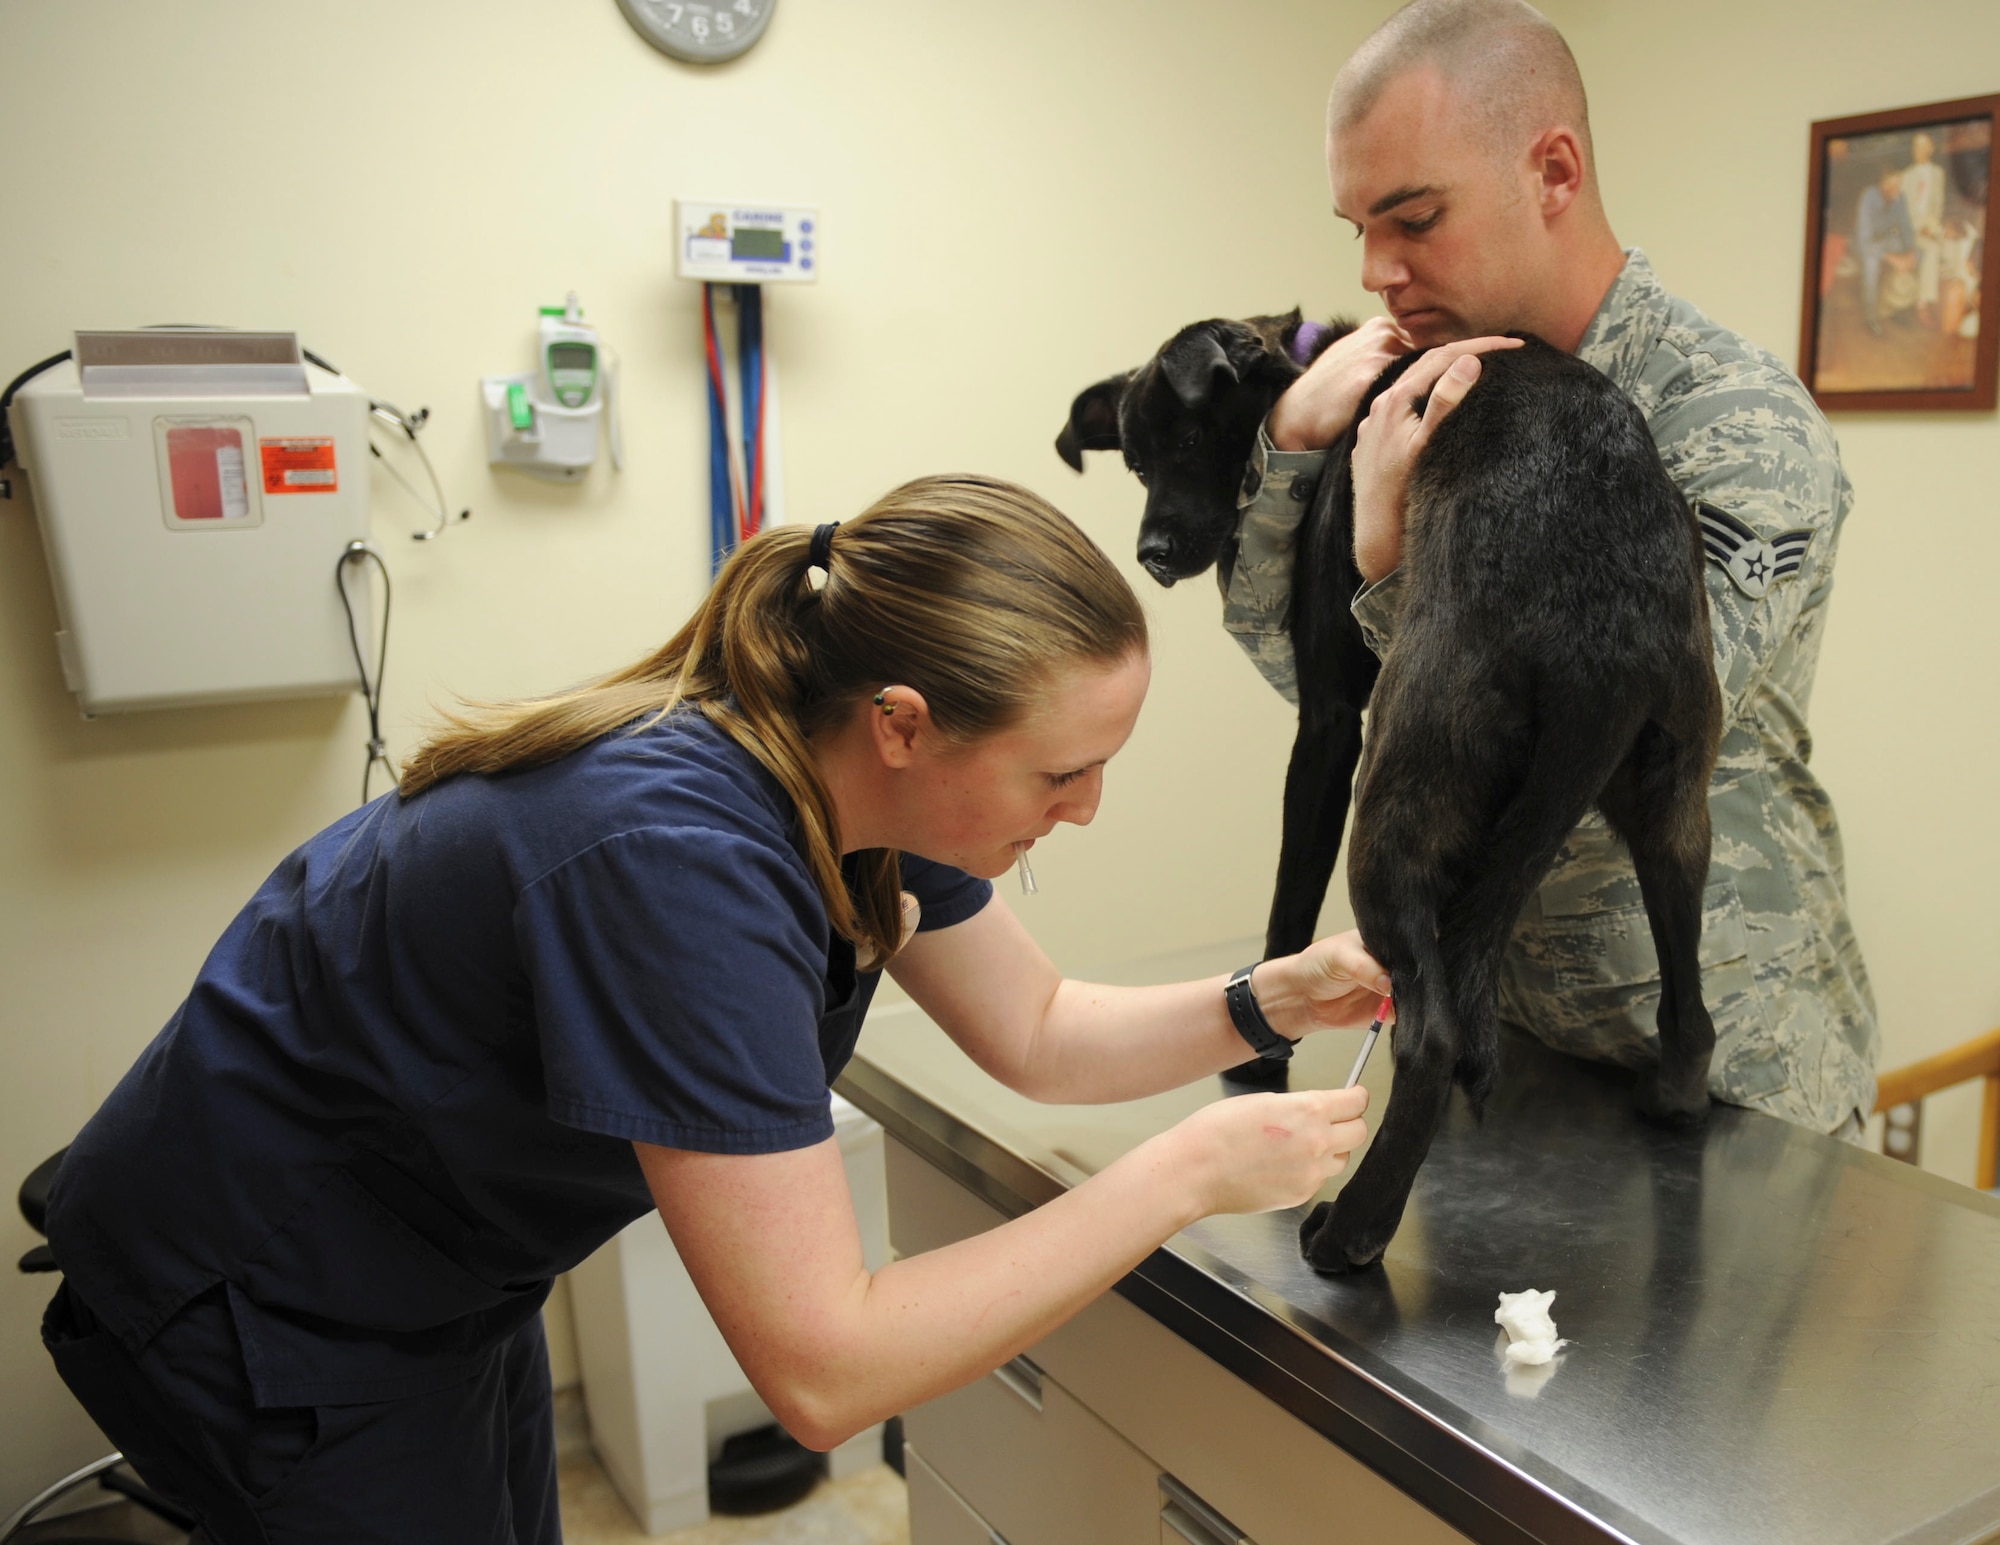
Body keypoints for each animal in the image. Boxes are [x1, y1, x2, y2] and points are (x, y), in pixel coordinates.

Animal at [1064, 320, 1720, 1272]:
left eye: (1187, 441)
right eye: (1136, 462)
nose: (1150, 555)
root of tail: (1604, 637)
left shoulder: (1331, 721)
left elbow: (1290, 894)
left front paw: (1264, 1046)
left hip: (1398, 794)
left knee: (1432, 1036)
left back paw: (1352, 1230)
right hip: (1676, 808)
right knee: (1690, 1007)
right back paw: (1675, 1099)